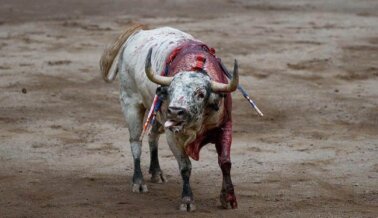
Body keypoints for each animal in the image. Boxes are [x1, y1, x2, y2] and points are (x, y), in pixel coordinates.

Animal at [99, 24, 239, 211]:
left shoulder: (225, 126)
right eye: (170, 90)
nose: (174, 111)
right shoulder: (173, 134)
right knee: (136, 142)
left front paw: (229, 198)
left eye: (201, 94)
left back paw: (156, 172)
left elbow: (225, 162)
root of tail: (137, 35)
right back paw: (139, 182)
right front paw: (187, 200)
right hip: (130, 103)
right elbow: (185, 166)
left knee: (152, 136)